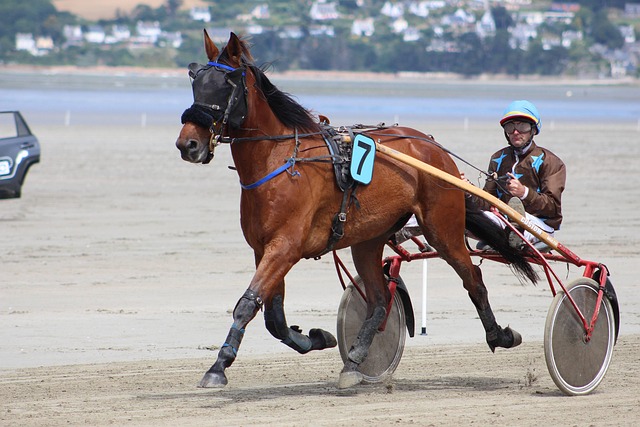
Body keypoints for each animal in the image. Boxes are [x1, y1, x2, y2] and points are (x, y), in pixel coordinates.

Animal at [175, 30, 537, 389]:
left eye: (226, 85)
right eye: (196, 81)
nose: (187, 144)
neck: (281, 163)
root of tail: (434, 148)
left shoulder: (285, 247)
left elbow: (248, 304)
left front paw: (218, 367)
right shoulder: (263, 249)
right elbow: (274, 318)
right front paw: (315, 337)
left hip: (442, 228)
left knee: (472, 277)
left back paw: (500, 335)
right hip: (368, 239)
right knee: (377, 301)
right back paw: (355, 360)